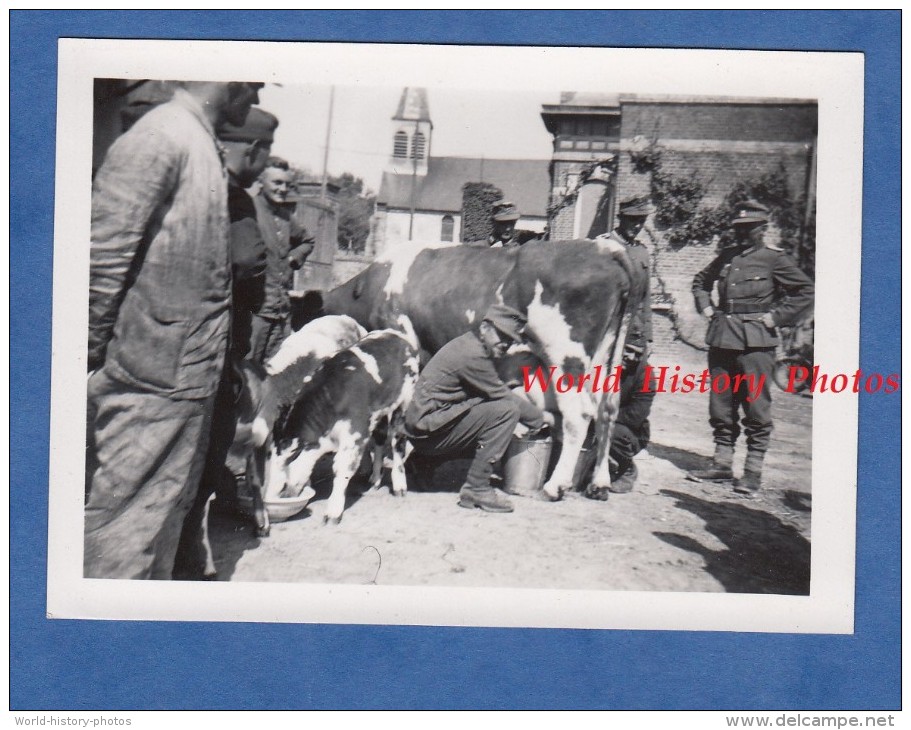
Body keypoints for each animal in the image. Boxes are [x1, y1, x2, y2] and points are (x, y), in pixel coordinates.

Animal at [264, 326, 420, 524]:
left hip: (403, 405)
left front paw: (333, 512)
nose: (275, 496)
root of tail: (394, 333)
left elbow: (342, 470)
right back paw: (375, 478)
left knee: (397, 442)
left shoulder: (355, 435)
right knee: (379, 440)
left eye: (283, 485)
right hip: (380, 413)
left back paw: (399, 485)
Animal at [322, 239, 640, 500]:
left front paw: (378, 474)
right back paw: (599, 483)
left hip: (565, 357)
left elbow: (386, 426)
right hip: (604, 357)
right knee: (607, 409)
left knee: (580, 415)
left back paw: (555, 486)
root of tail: (605, 248)